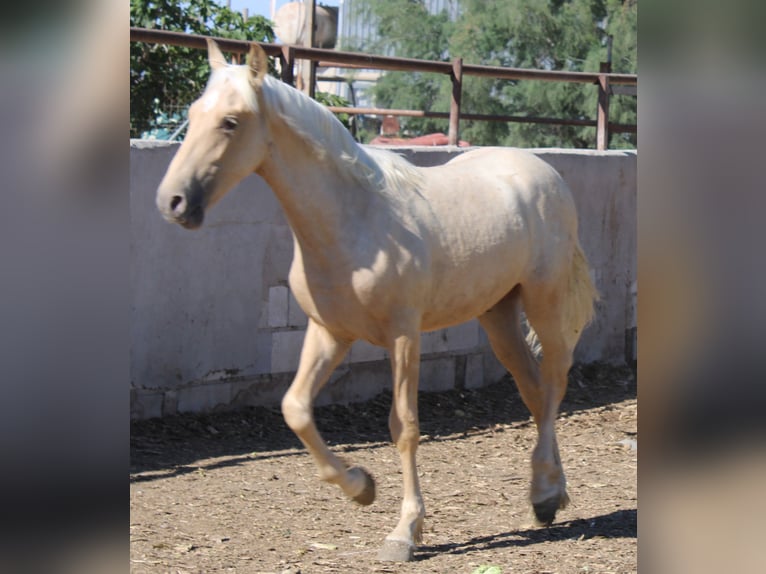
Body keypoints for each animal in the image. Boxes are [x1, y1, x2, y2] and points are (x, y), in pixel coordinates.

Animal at [156, 42, 600, 564]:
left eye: (230, 121)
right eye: (192, 114)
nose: (173, 202)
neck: (355, 221)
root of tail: (546, 173)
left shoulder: (403, 334)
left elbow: (403, 425)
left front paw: (404, 532)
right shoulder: (329, 332)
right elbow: (295, 408)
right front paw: (361, 486)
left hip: (544, 302)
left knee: (553, 384)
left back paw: (546, 494)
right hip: (498, 314)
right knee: (534, 391)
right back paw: (547, 495)